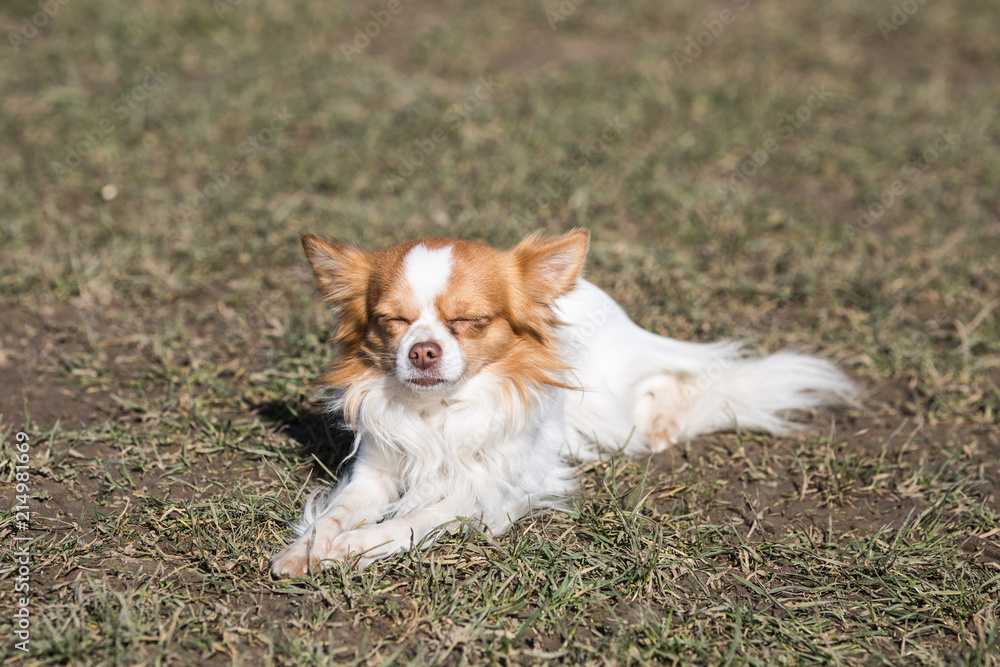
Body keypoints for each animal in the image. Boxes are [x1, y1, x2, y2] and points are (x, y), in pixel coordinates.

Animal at [270, 228, 856, 576]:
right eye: (392, 321)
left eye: (469, 321)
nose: (423, 350)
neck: (440, 410)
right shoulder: (374, 474)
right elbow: (336, 513)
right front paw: (308, 549)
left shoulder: (495, 491)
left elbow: (414, 519)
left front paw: (355, 547)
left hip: (614, 413)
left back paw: (665, 419)